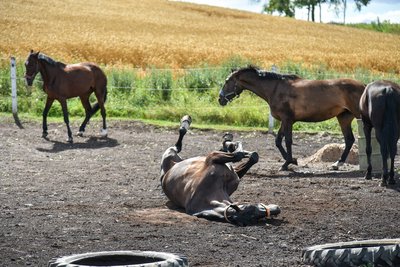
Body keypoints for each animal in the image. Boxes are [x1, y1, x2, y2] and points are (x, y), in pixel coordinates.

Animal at [219, 67, 366, 172]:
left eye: (227, 81)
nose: (220, 99)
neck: (275, 89)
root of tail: (364, 86)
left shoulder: (287, 120)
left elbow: (288, 141)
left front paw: (286, 163)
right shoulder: (284, 121)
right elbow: (278, 141)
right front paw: (291, 160)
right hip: (344, 118)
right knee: (349, 140)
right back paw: (337, 164)